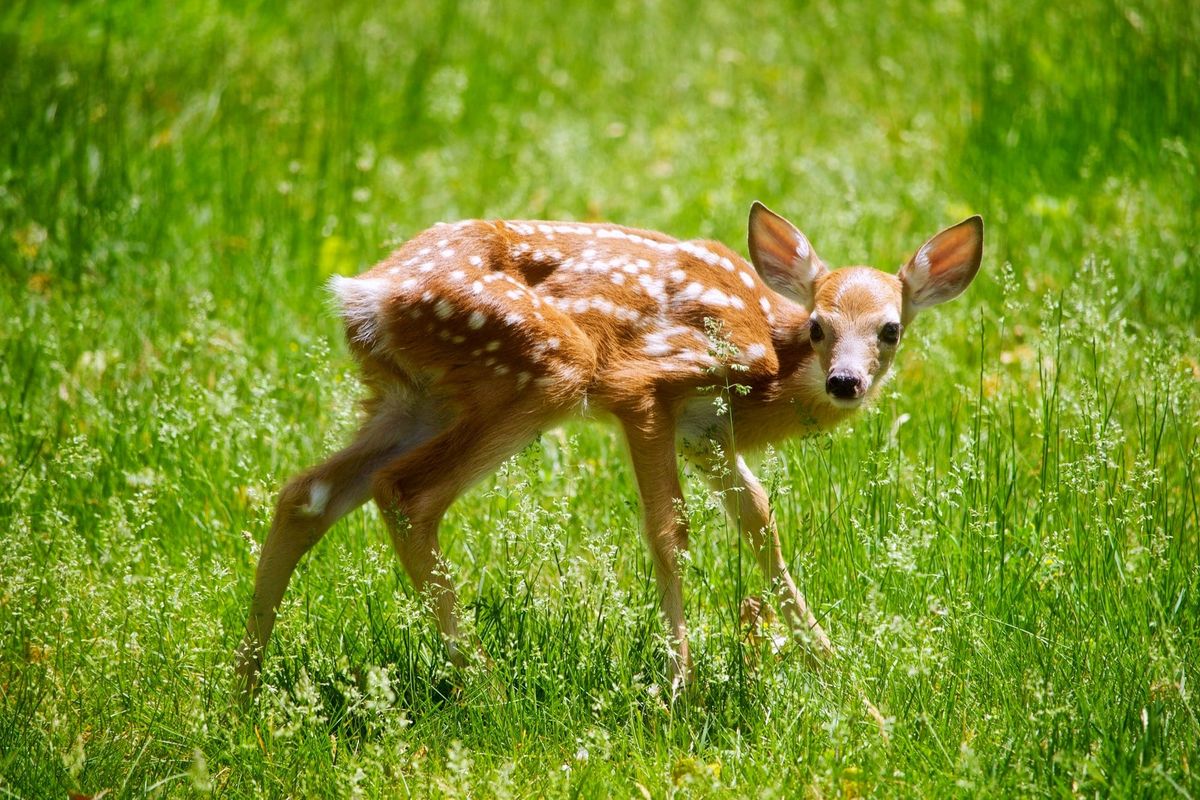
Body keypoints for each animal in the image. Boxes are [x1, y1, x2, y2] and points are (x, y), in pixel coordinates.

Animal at [234, 202, 983, 698]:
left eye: (890, 329)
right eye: (820, 325)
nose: (845, 382)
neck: (767, 361)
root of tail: (365, 294)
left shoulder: (707, 432)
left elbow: (760, 521)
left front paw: (838, 676)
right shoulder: (645, 386)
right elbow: (669, 528)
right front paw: (679, 689)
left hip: (418, 396)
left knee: (309, 493)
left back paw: (244, 688)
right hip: (541, 368)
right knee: (407, 493)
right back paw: (486, 688)